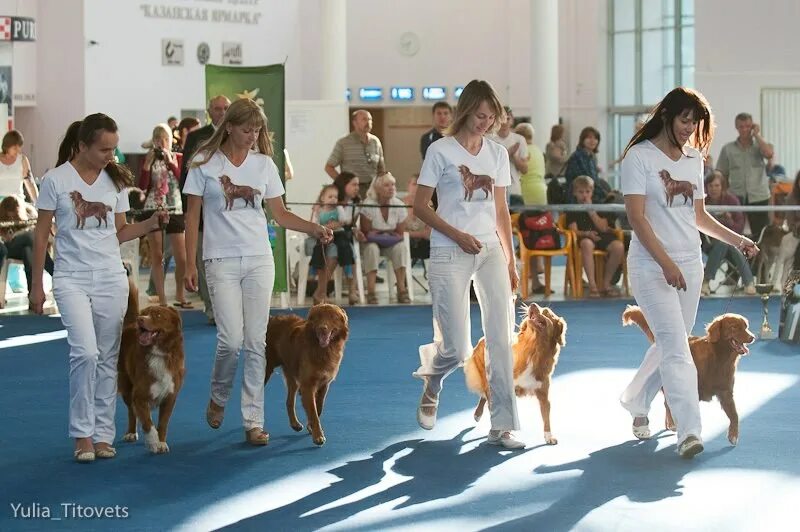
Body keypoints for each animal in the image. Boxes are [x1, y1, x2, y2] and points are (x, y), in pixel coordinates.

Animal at [117, 278, 186, 454]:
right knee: (131, 411)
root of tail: (129, 325)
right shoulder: (139, 395)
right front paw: (153, 442)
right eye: (144, 313)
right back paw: (130, 432)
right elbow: (148, 422)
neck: (159, 353)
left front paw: (161, 442)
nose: (140, 319)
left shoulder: (170, 396)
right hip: (126, 386)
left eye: (158, 315)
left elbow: (162, 423)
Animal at [266, 304, 346, 444]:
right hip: (266, 369)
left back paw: (295, 424)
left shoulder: (324, 383)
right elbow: (313, 411)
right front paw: (318, 435)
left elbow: (318, 407)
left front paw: (311, 427)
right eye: (318, 317)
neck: (322, 349)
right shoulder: (308, 385)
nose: (323, 328)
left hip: (292, 375)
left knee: (289, 401)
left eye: (333, 317)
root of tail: (270, 319)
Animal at [462, 304, 568, 444]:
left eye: (546, 312)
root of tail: (485, 338)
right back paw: (478, 415)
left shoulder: (543, 394)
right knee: (486, 395)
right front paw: (503, 432)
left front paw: (549, 436)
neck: (533, 349)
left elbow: (546, 417)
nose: (532, 304)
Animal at [624, 304, 756, 444]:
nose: (752, 337)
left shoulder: (726, 392)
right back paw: (671, 423)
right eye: (734, 327)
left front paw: (733, 435)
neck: (719, 358)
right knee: (667, 404)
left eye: (746, 326)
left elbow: (735, 415)